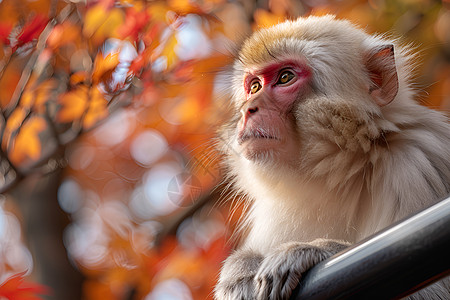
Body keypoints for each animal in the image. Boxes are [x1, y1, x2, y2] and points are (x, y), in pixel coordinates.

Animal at [214, 14, 450, 300]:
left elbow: (433, 291)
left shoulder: (416, 162)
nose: (249, 109)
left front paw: (311, 251)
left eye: (285, 77)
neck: (338, 173)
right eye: (255, 86)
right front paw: (240, 268)